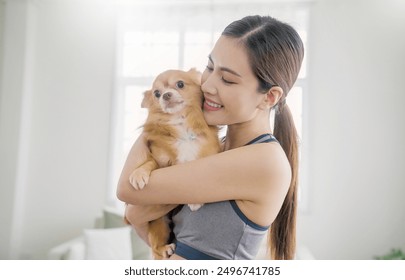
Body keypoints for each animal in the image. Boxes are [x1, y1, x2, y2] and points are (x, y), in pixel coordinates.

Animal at [129, 68, 218, 260]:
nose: (166, 95)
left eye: (180, 84)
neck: (181, 124)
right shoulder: (160, 161)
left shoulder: (207, 158)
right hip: (160, 222)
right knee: (155, 247)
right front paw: (138, 174)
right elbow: (149, 162)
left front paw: (195, 201)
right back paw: (164, 249)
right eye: (157, 93)